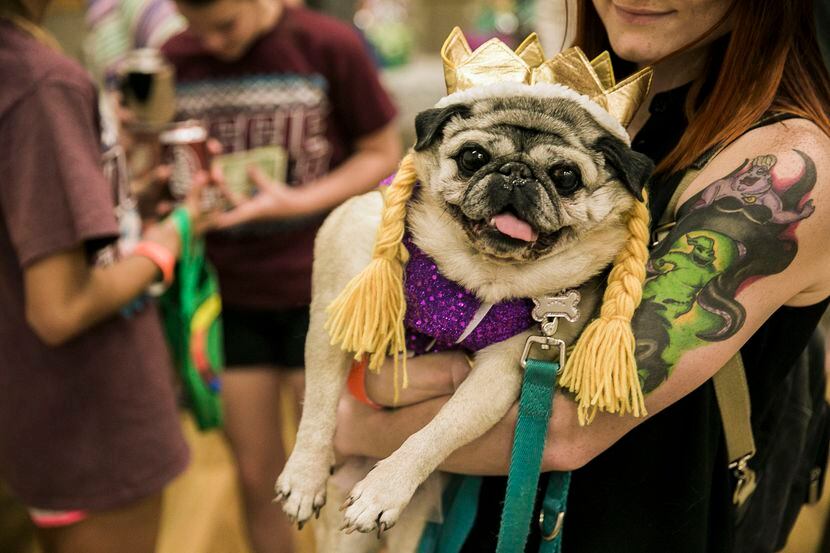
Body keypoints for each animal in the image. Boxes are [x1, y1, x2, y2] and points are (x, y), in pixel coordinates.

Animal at [276, 88, 652, 548]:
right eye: (473, 157)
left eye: (565, 177)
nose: (516, 173)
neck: (478, 274)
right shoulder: (334, 311)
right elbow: (320, 403)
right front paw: (303, 477)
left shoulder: (502, 373)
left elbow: (440, 430)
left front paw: (385, 488)